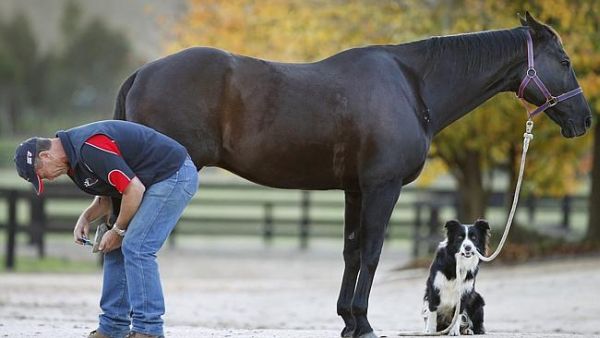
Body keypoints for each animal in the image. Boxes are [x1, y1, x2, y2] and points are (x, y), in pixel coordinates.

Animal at [111, 12, 592, 338]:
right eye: (566, 60)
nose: (584, 120)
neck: (412, 85)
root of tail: (141, 73)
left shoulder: (354, 190)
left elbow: (352, 252)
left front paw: (346, 320)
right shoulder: (383, 188)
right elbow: (374, 253)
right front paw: (363, 323)